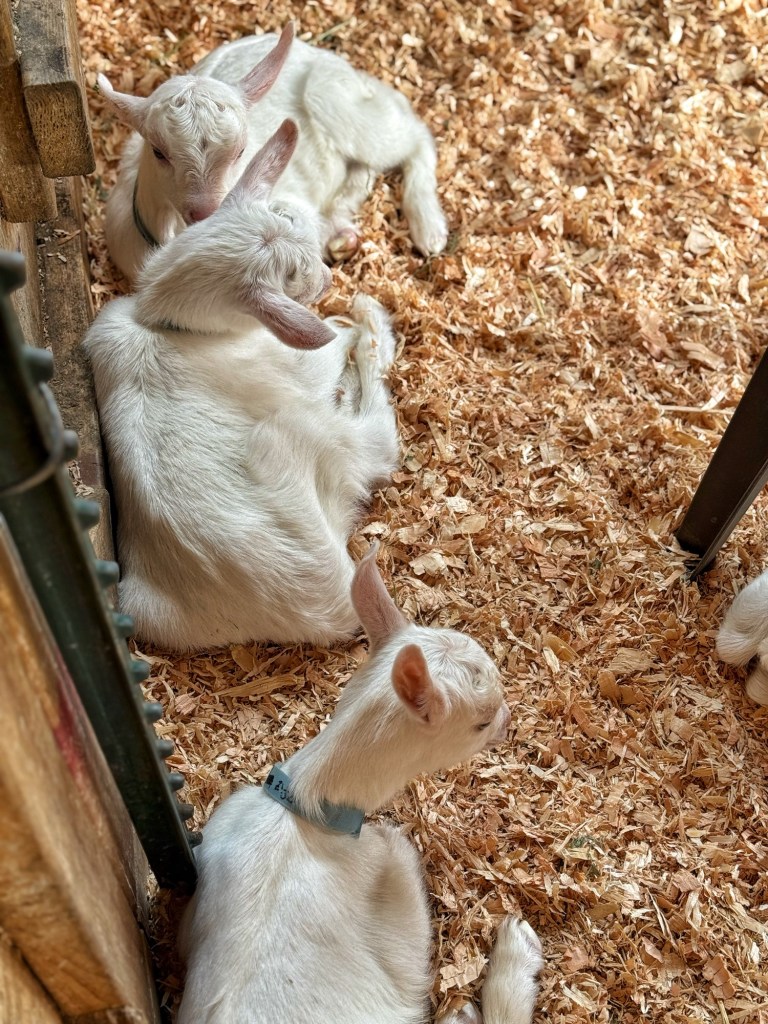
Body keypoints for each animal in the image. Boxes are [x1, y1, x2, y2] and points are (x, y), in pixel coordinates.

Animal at [83, 119, 401, 652]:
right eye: (294, 277)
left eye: (289, 216)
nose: (328, 278)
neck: (162, 321)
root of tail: (333, 602)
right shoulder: (295, 364)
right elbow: (336, 348)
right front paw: (357, 321)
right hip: (298, 434)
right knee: (379, 436)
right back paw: (368, 322)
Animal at [98, 23, 449, 282]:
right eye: (159, 152)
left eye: (241, 150)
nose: (206, 210)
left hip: (335, 99)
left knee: (412, 132)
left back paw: (429, 227)